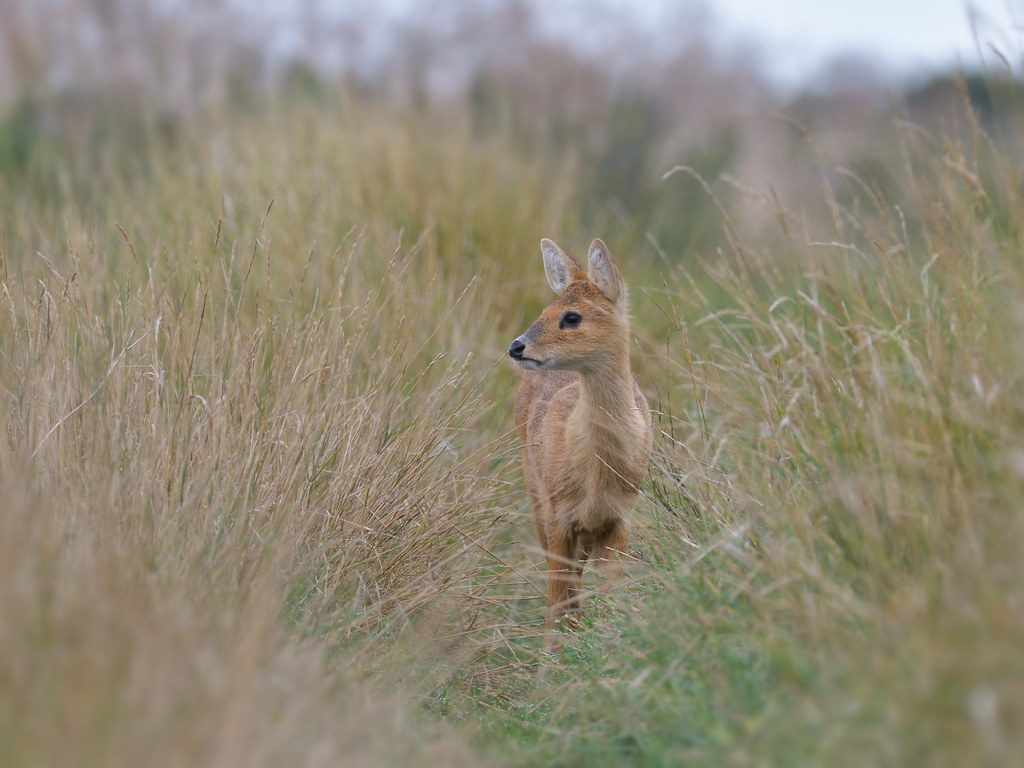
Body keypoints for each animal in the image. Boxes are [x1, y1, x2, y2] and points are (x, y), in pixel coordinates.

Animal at [509, 237, 652, 654]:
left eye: (571, 317)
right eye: (545, 309)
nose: (516, 346)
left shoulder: (619, 518)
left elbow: (609, 592)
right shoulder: (559, 515)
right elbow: (557, 596)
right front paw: (552, 659)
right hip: (536, 497)